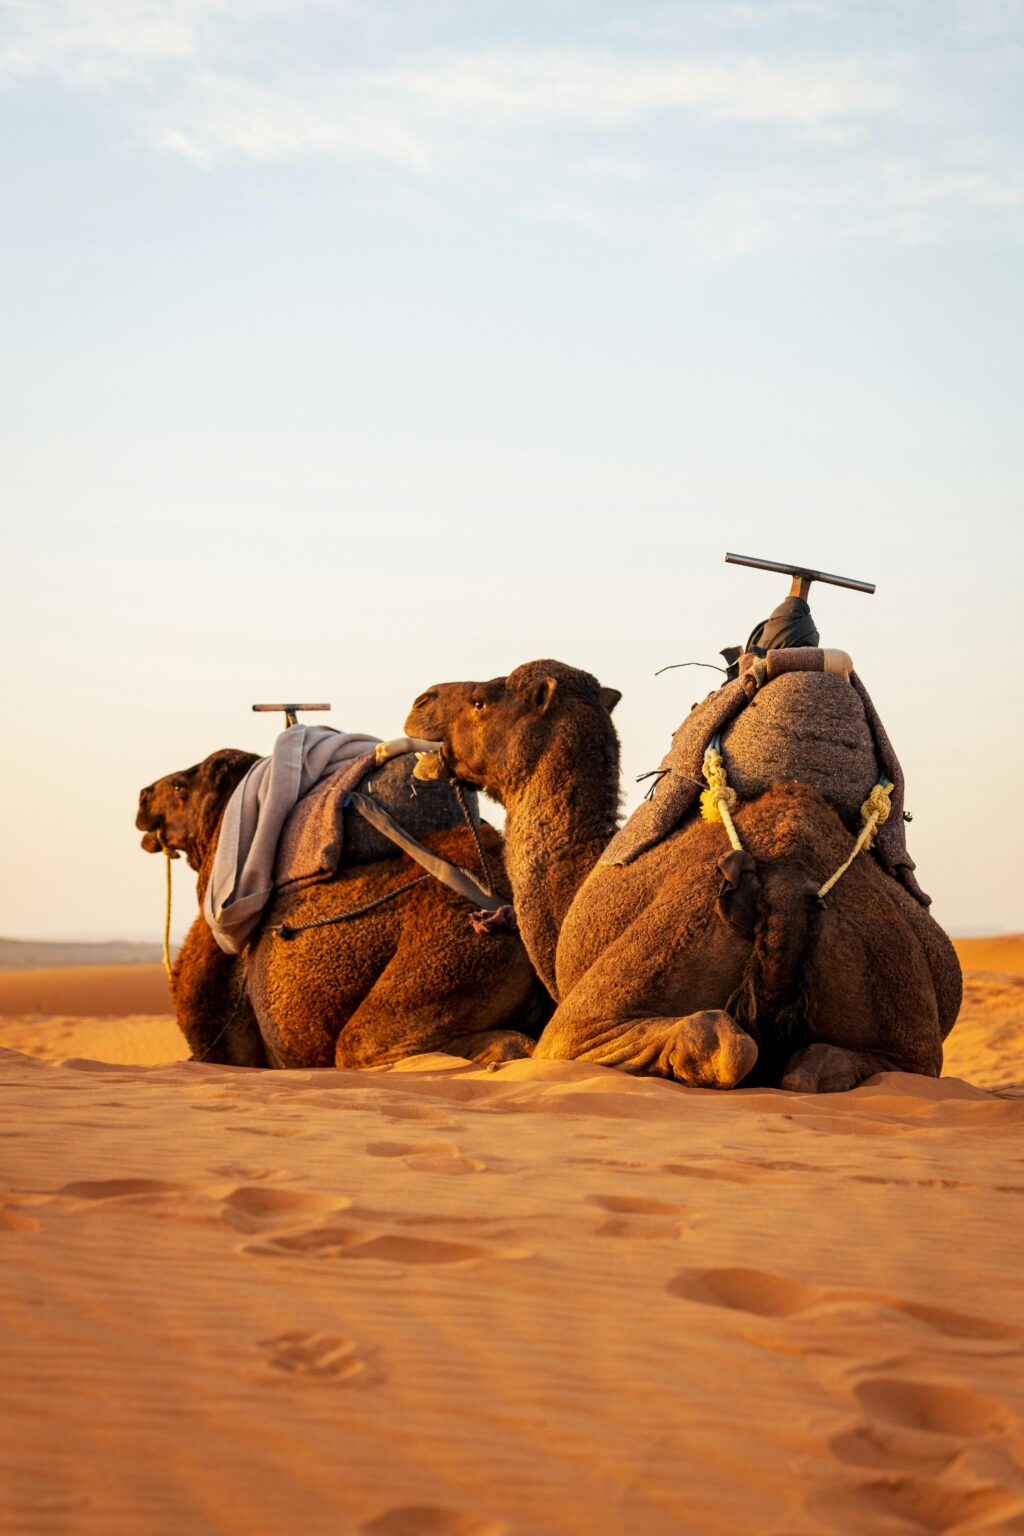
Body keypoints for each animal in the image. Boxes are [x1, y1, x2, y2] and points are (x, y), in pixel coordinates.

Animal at [405, 660, 962, 1093]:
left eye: (480, 702)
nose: (420, 700)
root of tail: (788, 886)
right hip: (902, 1015)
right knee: (821, 1067)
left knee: (716, 1041)